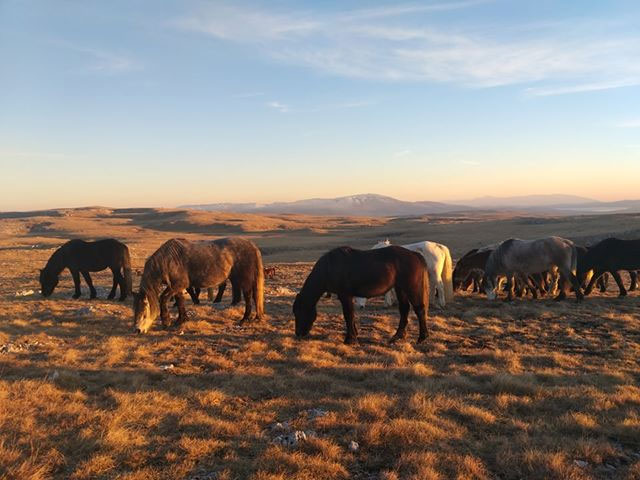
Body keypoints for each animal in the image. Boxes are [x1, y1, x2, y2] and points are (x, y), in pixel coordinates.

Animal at [134, 237, 264, 334]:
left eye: (144, 314)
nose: (138, 330)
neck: (169, 260)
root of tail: (252, 245)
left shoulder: (178, 285)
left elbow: (163, 298)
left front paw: (166, 321)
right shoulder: (178, 287)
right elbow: (180, 301)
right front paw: (181, 320)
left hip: (244, 280)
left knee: (248, 297)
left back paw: (244, 319)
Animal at [296, 248, 430, 344]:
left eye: (299, 312)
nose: (298, 334)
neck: (329, 267)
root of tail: (415, 254)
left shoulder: (345, 295)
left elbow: (348, 315)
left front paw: (350, 339)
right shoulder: (348, 296)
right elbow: (351, 315)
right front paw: (354, 335)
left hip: (411, 288)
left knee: (419, 310)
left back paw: (422, 338)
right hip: (400, 288)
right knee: (404, 309)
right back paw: (397, 337)